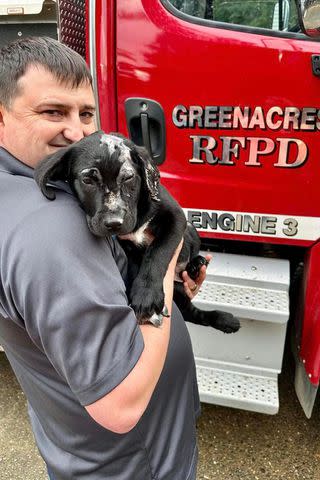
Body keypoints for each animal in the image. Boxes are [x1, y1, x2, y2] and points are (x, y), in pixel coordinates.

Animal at [35, 131, 240, 334]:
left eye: (128, 178)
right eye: (87, 180)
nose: (114, 223)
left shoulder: (176, 217)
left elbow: (157, 252)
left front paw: (146, 295)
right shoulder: (127, 246)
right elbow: (135, 267)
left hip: (191, 230)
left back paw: (201, 273)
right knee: (193, 314)